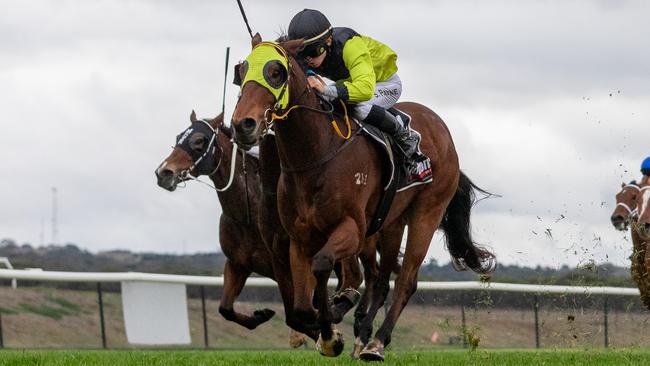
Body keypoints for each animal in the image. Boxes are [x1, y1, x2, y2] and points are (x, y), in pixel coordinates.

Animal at [155, 110, 362, 344]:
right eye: (178, 137)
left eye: (199, 140)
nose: (163, 173)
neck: (247, 215)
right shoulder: (237, 264)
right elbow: (225, 308)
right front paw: (262, 314)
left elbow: (299, 314)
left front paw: (323, 334)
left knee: (354, 278)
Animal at [228, 35, 492, 362]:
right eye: (241, 71)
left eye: (276, 72)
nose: (243, 125)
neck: (315, 156)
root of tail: (440, 127)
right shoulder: (297, 241)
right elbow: (300, 309)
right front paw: (328, 332)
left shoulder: (352, 230)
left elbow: (323, 265)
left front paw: (333, 325)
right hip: (391, 221)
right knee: (382, 280)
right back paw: (364, 337)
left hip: (427, 213)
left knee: (405, 281)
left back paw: (376, 342)